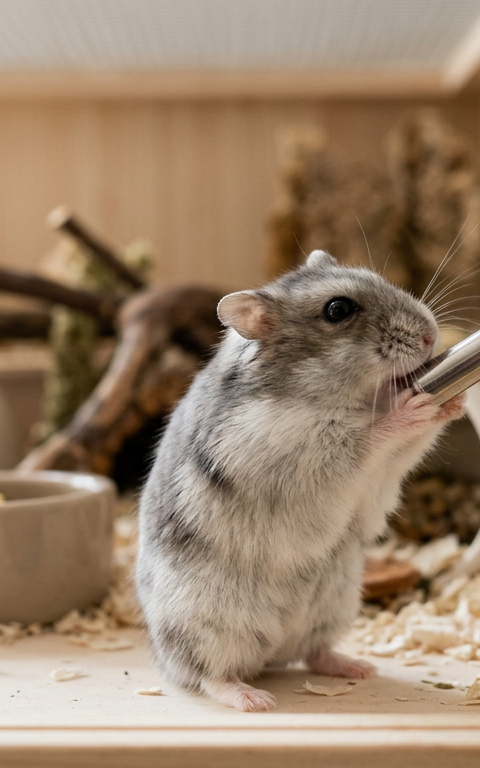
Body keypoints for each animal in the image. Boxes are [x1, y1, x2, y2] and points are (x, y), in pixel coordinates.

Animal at [136, 250, 465, 712]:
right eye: (338, 310)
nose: (430, 337)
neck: (329, 395)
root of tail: (270, 655)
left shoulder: (382, 478)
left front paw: (454, 399)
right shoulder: (304, 455)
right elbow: (369, 437)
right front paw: (411, 406)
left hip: (335, 603)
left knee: (313, 652)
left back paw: (359, 668)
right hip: (208, 624)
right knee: (207, 674)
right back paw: (254, 699)